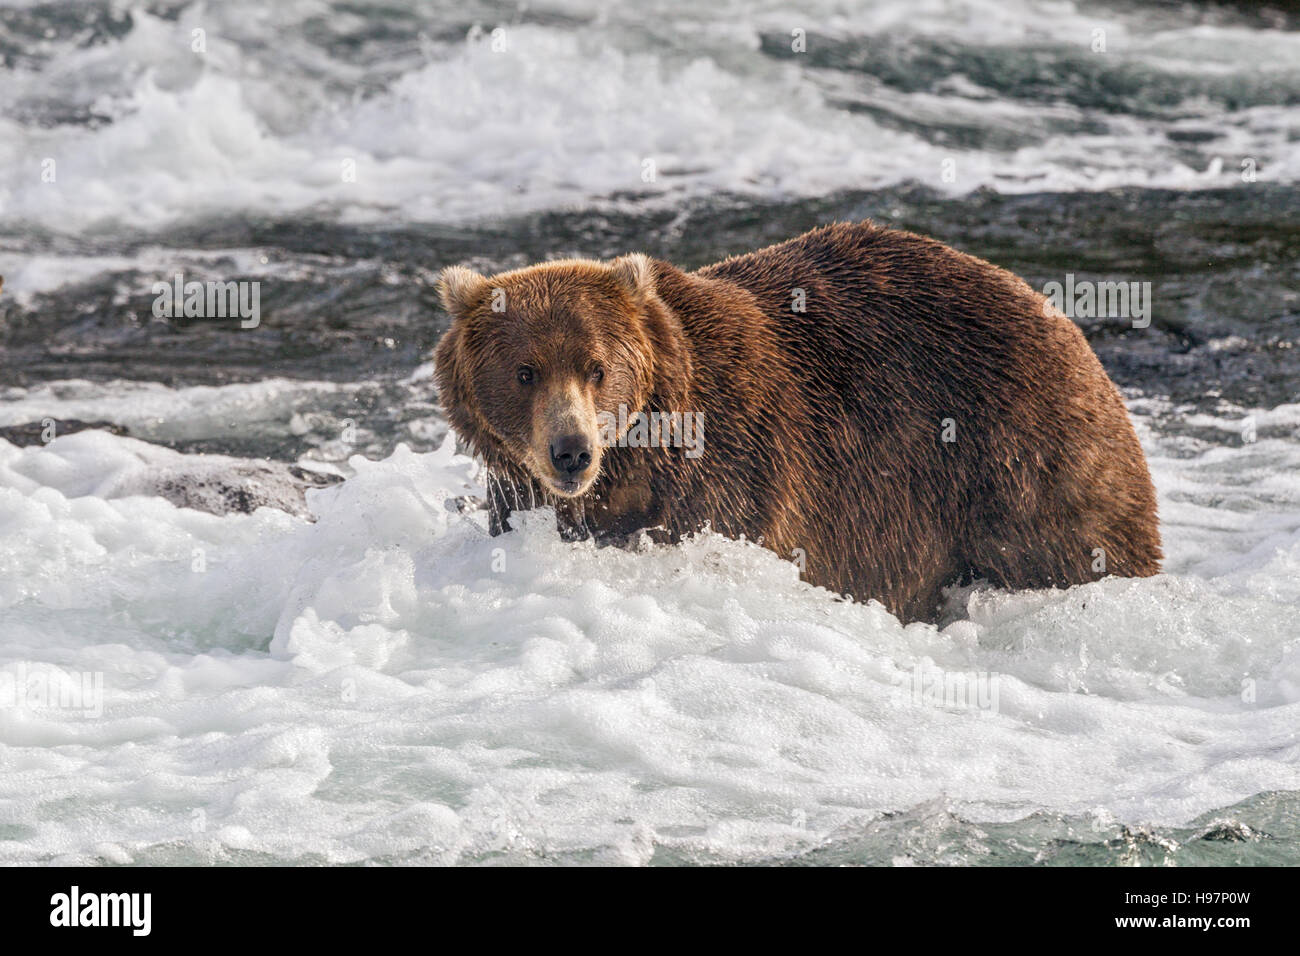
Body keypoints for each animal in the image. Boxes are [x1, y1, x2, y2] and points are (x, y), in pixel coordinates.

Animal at [431, 221, 1164, 624]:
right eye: (525, 371)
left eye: (597, 367)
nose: (572, 451)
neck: (640, 462)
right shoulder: (524, 494)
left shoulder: (735, 473)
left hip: (1024, 459)